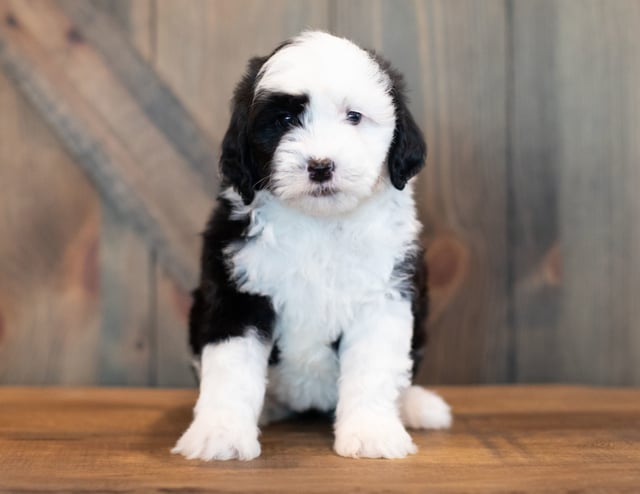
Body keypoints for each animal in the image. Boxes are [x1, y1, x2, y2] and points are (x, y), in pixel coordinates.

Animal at [170, 31, 450, 464]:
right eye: (285, 121)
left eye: (354, 117)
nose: (320, 166)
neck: (318, 222)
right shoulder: (237, 292)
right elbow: (230, 369)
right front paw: (220, 434)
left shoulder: (383, 294)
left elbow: (373, 367)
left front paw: (371, 433)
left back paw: (416, 405)